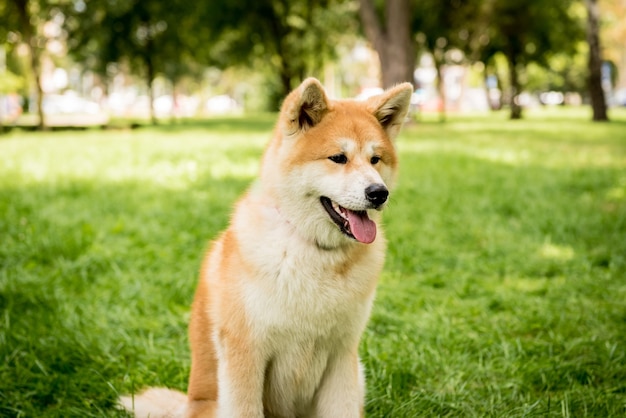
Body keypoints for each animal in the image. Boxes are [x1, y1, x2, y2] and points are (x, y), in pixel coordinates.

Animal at [120, 78, 414, 418]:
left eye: (375, 159)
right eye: (338, 158)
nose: (379, 192)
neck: (311, 251)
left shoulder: (342, 355)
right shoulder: (245, 352)